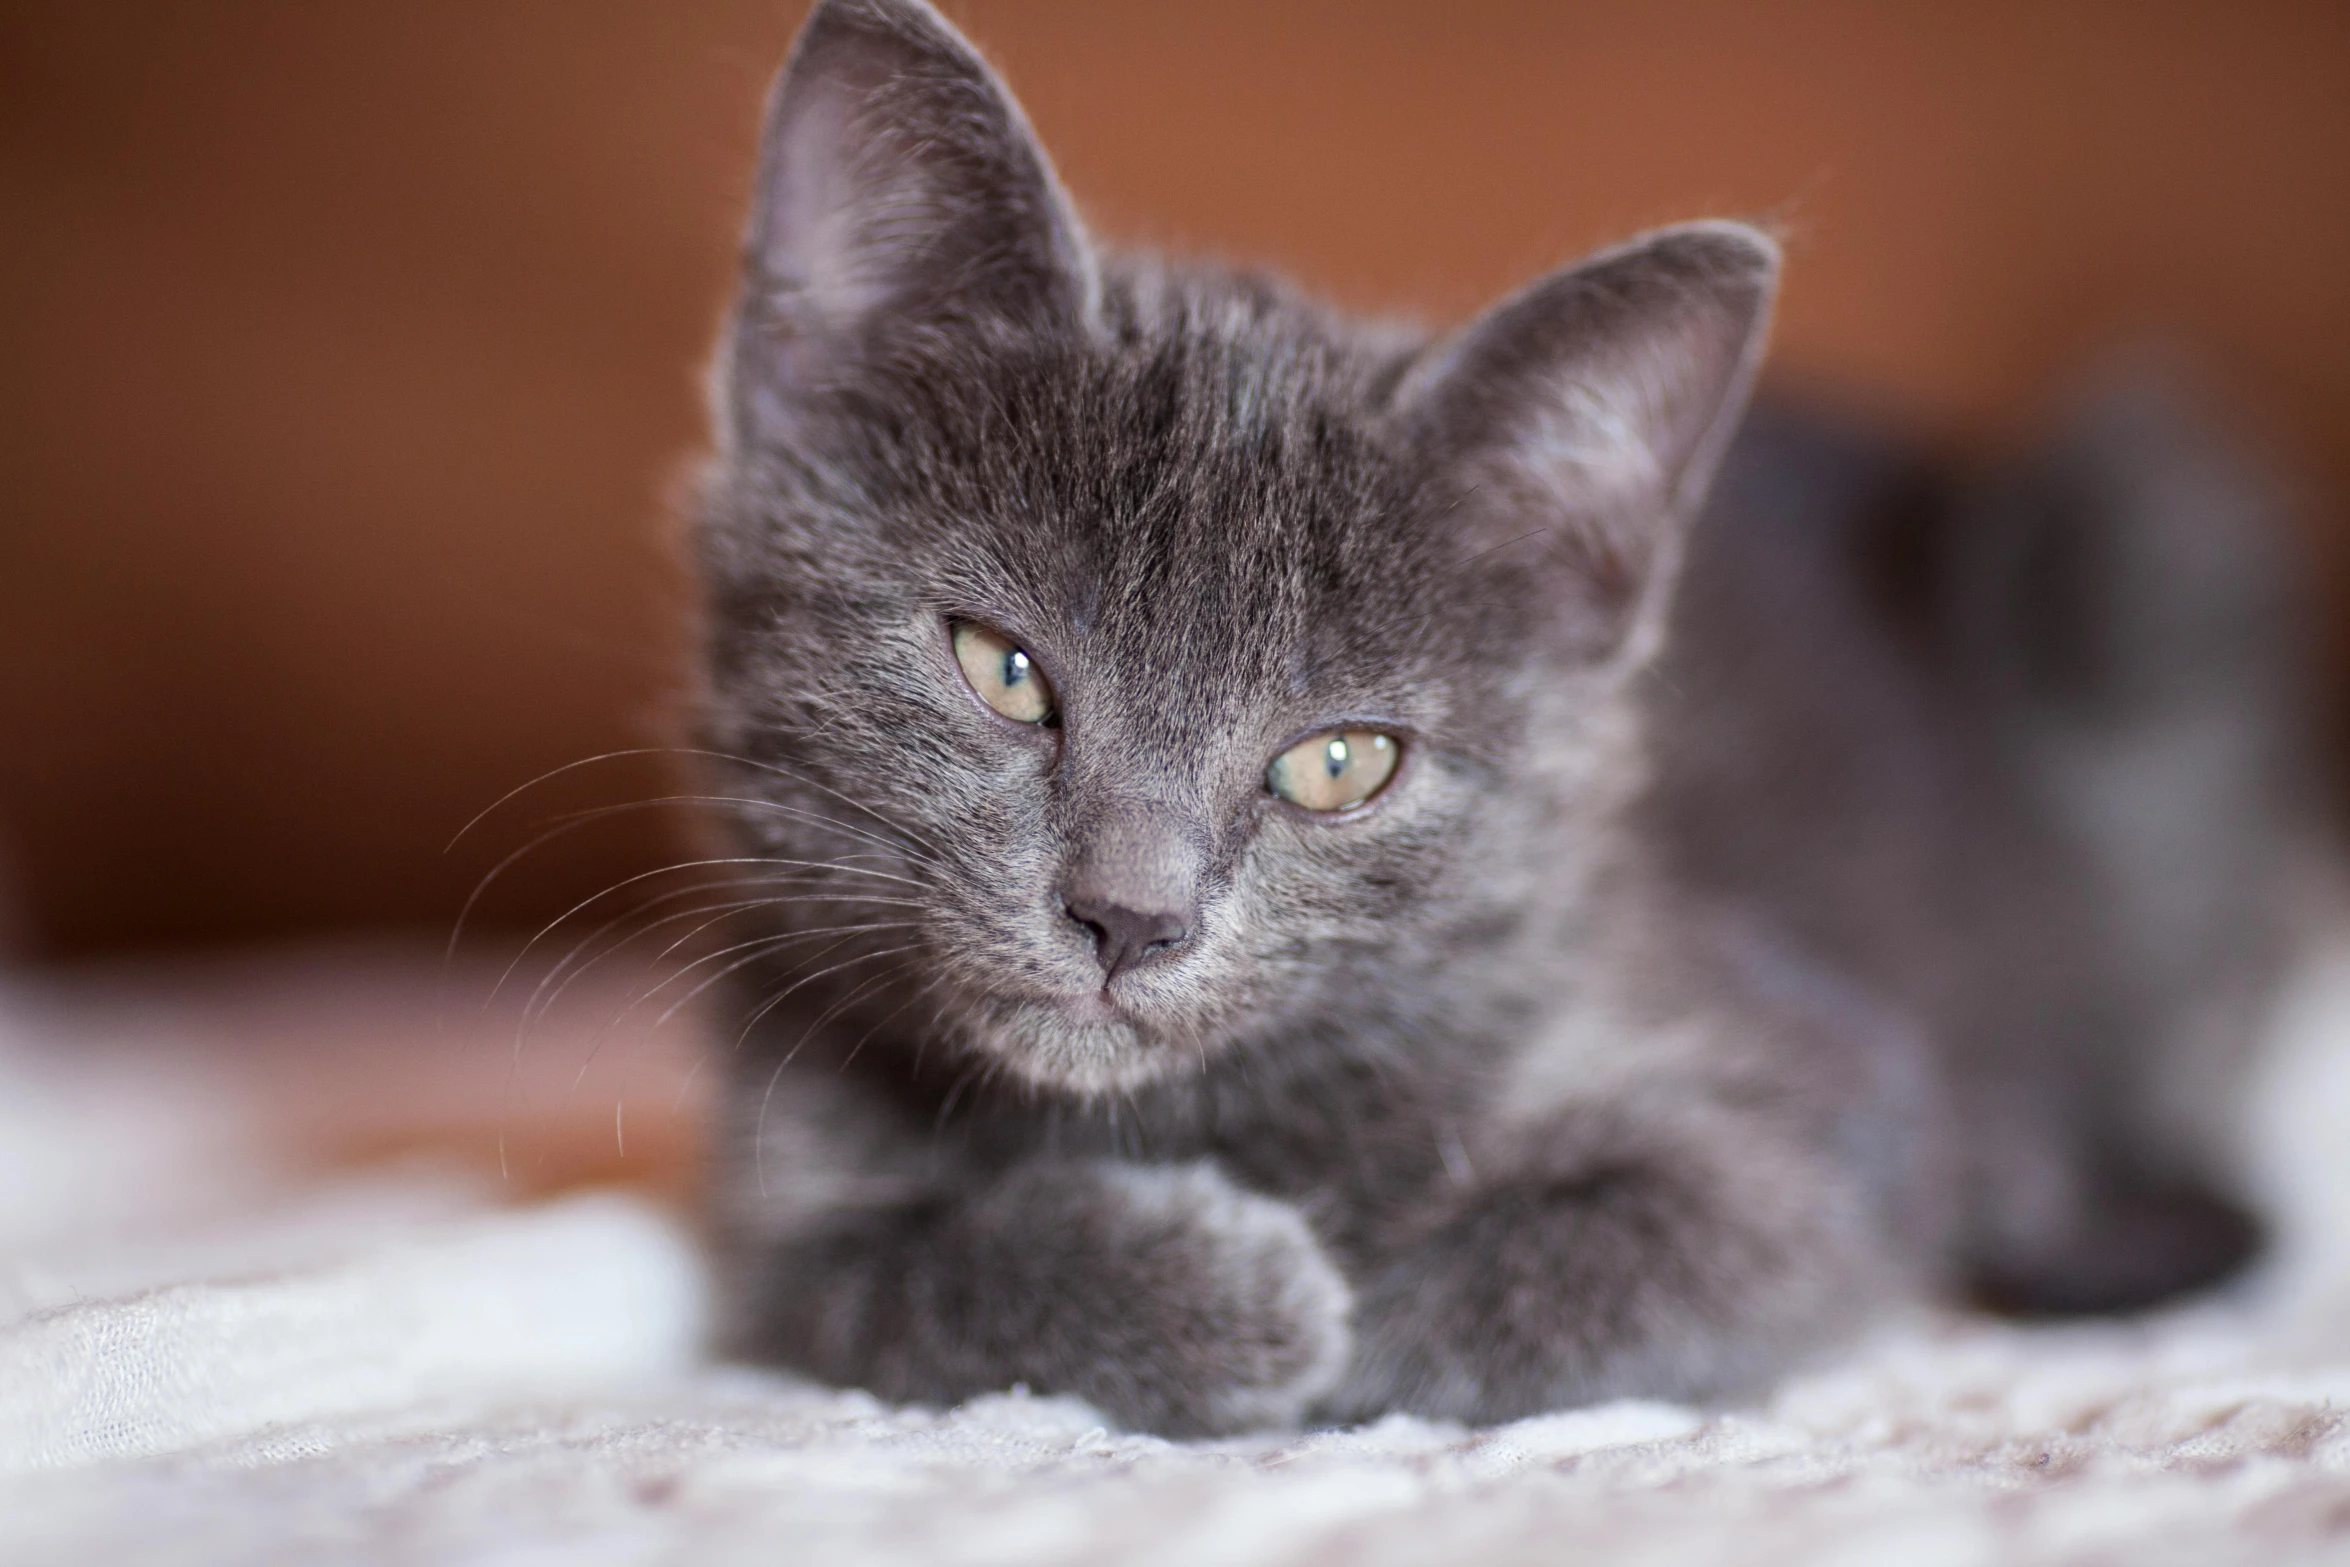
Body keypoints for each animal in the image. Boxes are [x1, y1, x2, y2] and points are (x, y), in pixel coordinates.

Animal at [686, 0, 2312, 1437]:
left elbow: (1675, 1228)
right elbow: (866, 1284)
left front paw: (1354, 1315)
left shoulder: (1843, 1094)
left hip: (2147, 538)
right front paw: (1210, 1291)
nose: (1127, 914)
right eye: (1002, 667)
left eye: (1339, 761)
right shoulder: (776, 1167)